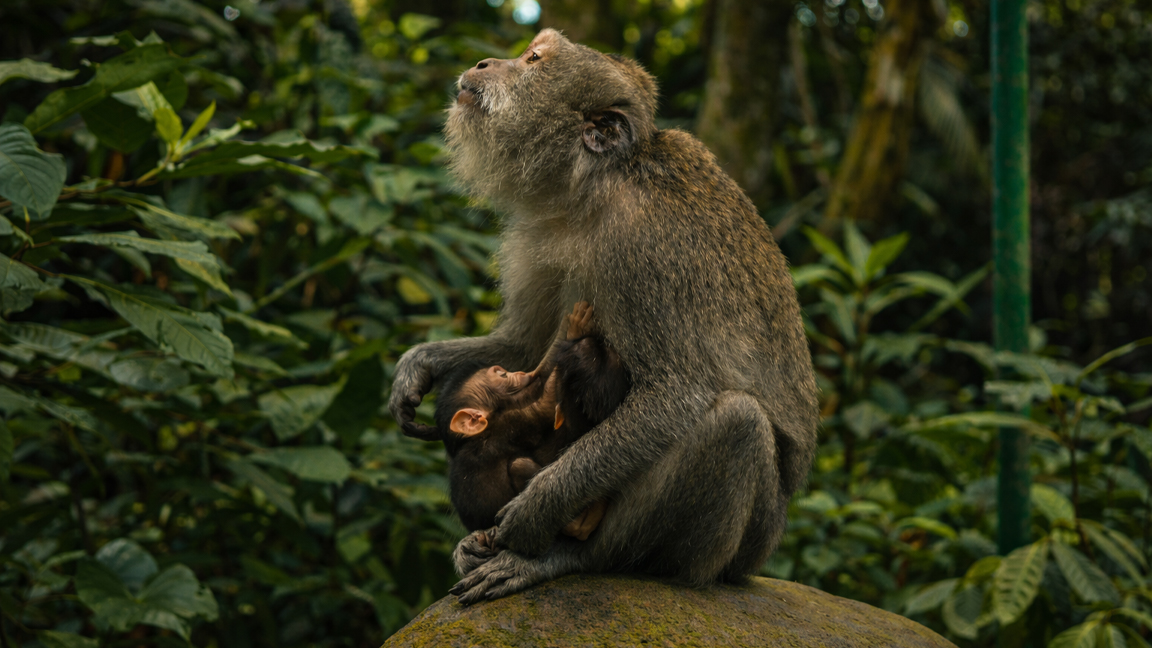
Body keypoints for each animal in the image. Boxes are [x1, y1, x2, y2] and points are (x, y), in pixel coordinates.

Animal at [388, 28, 819, 604]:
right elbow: (525, 345)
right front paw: (420, 364)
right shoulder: (542, 233)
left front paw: (537, 509)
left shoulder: (642, 245)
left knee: (737, 423)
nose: (482, 63)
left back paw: (568, 557)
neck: (593, 186)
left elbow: (675, 393)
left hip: (745, 546)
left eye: (533, 59)